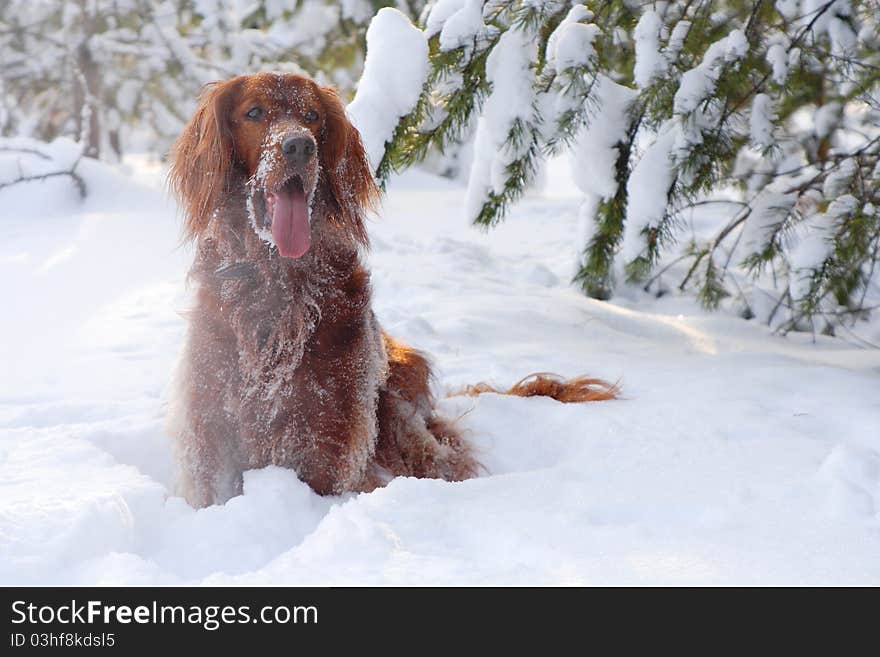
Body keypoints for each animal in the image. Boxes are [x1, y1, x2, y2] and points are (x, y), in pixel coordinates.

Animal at [168, 73, 616, 508]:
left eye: (313, 116)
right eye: (255, 112)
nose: (299, 146)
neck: (277, 277)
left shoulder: (332, 430)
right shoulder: (210, 424)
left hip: (402, 422)